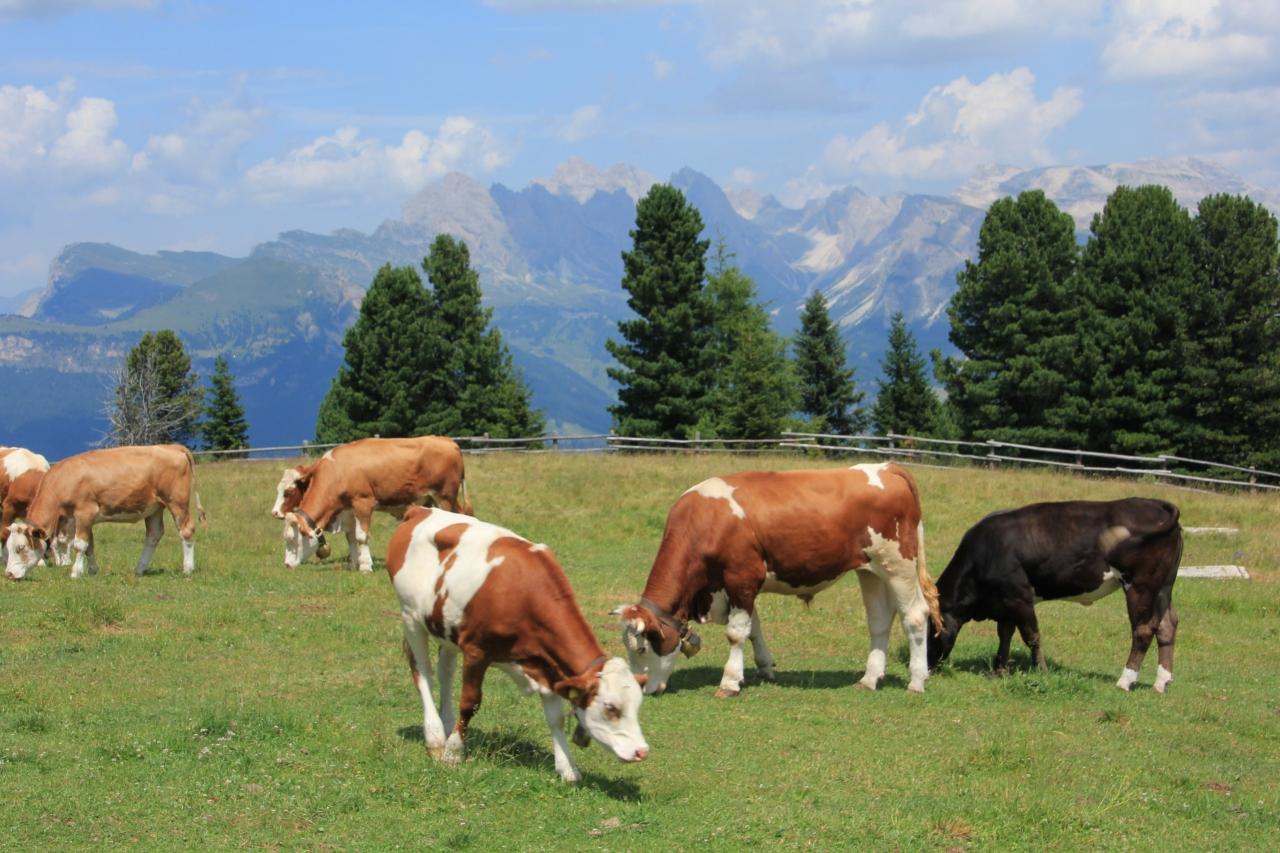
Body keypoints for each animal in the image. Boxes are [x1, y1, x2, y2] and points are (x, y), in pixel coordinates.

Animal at [4, 444, 205, 580]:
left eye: (20, 548)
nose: (9, 574)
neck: (62, 481)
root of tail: (172, 447)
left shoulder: (85, 512)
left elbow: (79, 545)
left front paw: (75, 572)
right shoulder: (80, 520)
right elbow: (89, 546)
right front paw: (92, 570)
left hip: (176, 502)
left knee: (186, 531)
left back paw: (188, 568)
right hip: (154, 508)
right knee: (154, 535)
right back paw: (140, 569)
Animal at [276, 435, 473, 573]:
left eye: (291, 539)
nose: (286, 564)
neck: (338, 470)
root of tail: (447, 441)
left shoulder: (362, 503)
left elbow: (361, 536)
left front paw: (365, 566)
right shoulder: (348, 509)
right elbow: (351, 536)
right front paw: (354, 563)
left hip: (445, 497)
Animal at [387, 505, 649, 783]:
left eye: (638, 705)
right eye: (611, 707)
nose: (642, 751)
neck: (523, 593)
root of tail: (421, 509)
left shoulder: (546, 663)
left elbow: (555, 718)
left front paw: (568, 768)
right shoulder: (477, 651)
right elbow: (469, 703)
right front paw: (454, 753)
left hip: (445, 628)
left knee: (445, 673)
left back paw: (447, 725)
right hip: (410, 615)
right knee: (422, 672)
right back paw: (436, 737)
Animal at [615, 462, 943, 697]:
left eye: (641, 649)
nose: (641, 687)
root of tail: (886, 467)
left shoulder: (742, 577)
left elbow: (737, 633)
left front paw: (729, 682)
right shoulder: (737, 586)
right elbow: (754, 629)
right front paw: (764, 668)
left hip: (899, 564)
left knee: (915, 616)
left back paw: (916, 682)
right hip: (871, 570)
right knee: (879, 621)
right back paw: (869, 678)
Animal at [926, 498, 1182, 693]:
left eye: (929, 630)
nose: (925, 667)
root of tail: (1153, 503)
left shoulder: (1019, 595)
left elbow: (1031, 635)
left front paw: (1041, 670)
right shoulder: (1006, 601)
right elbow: (1005, 634)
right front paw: (1000, 670)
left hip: (1140, 585)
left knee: (1143, 629)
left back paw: (1125, 681)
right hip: (1163, 586)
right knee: (1166, 624)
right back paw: (1161, 683)